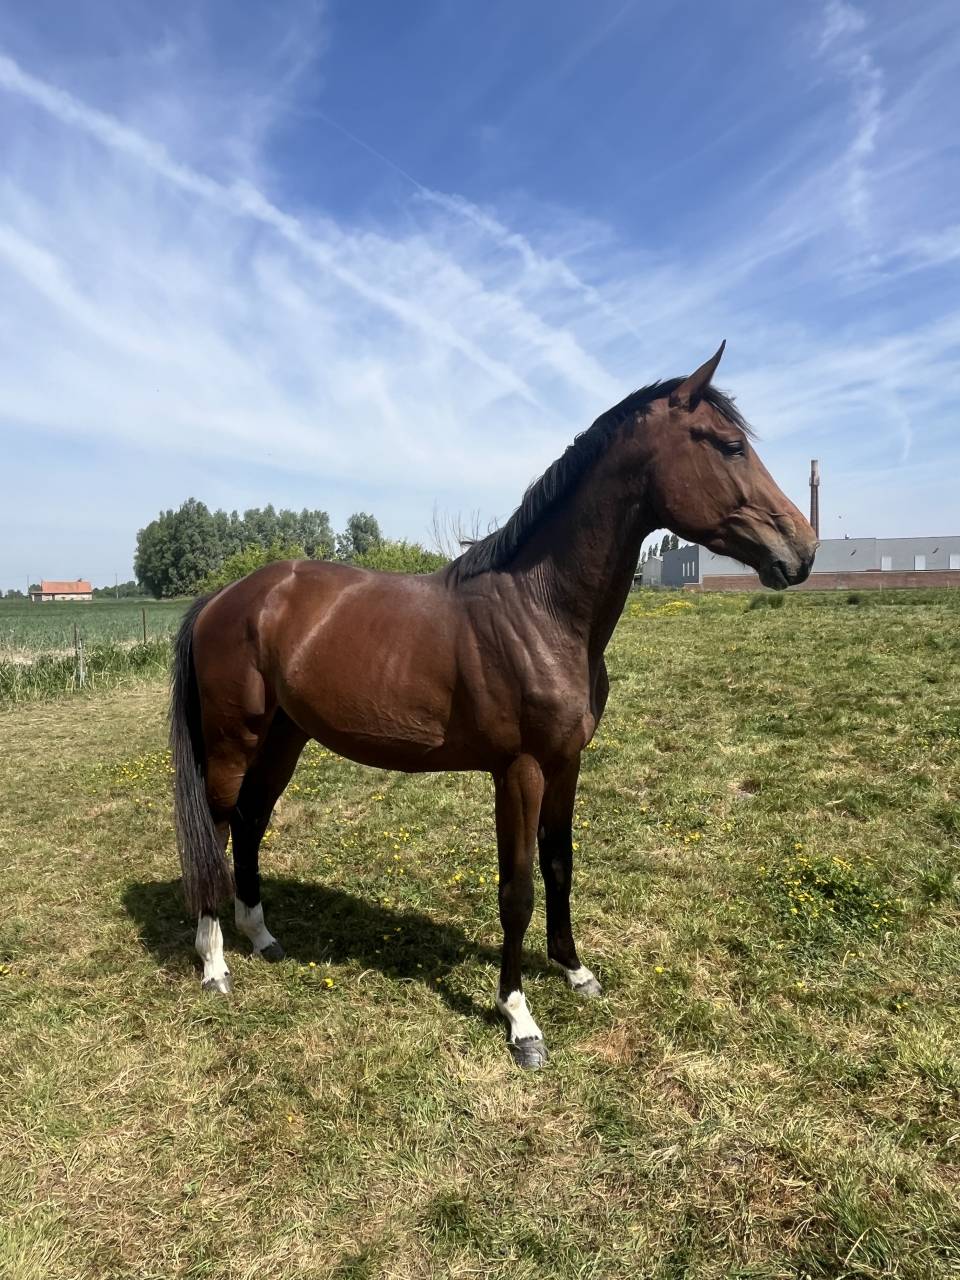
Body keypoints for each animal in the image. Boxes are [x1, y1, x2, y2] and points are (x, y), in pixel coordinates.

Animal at [170, 342, 817, 1068]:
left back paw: (261, 936)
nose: (803, 549)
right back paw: (215, 963)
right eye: (730, 446)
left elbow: (560, 865)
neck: (540, 609)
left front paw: (574, 970)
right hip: (233, 742)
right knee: (216, 831)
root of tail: (225, 598)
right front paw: (519, 1018)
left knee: (251, 821)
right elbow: (518, 890)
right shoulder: (520, 771)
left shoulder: (567, 763)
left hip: (285, 737)